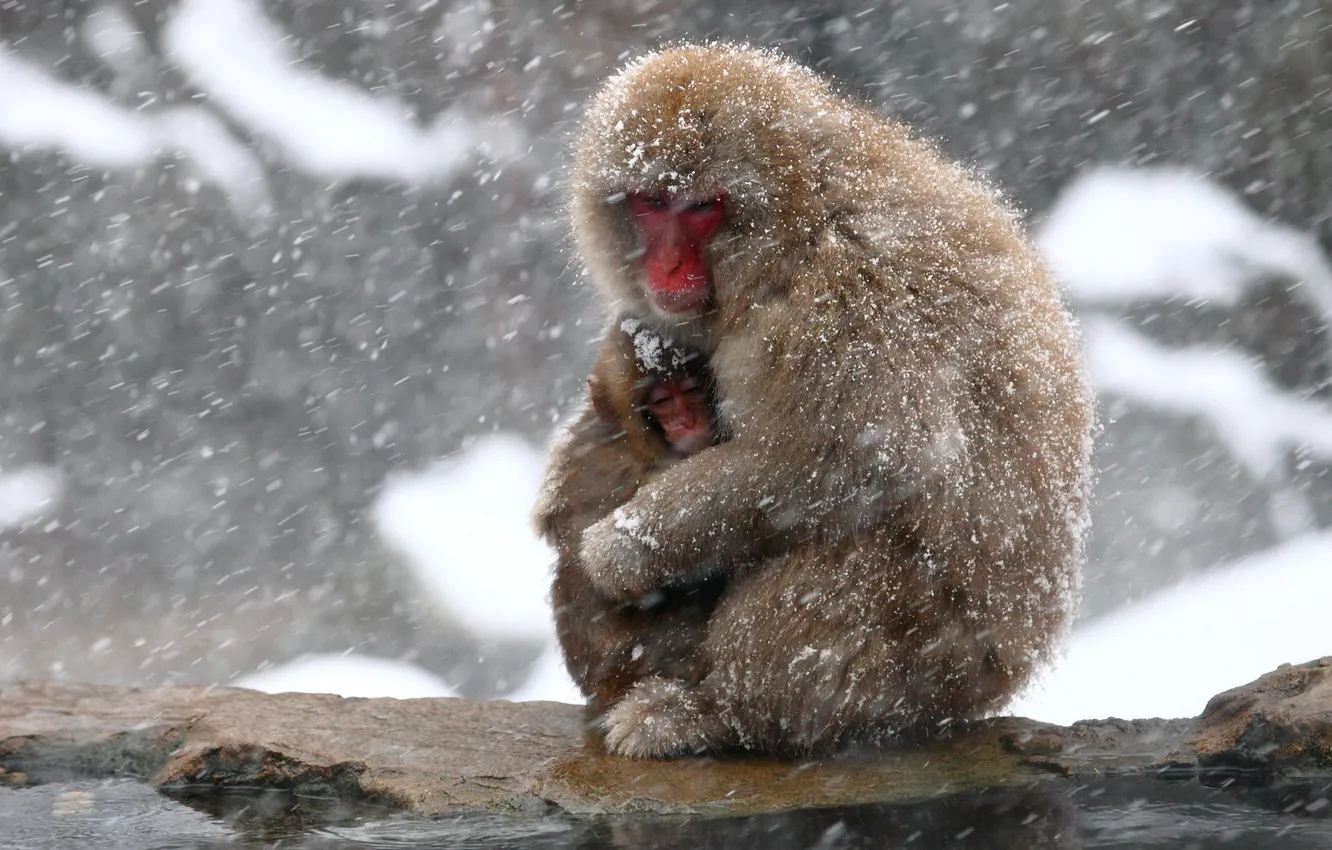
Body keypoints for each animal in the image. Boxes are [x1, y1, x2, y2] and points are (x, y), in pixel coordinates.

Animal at [557, 44, 1096, 757]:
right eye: (651, 202)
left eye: (702, 207)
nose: (666, 267)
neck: (798, 224)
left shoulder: (851, 295)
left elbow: (875, 452)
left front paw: (623, 549)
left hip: (929, 662)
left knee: (846, 549)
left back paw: (718, 714)